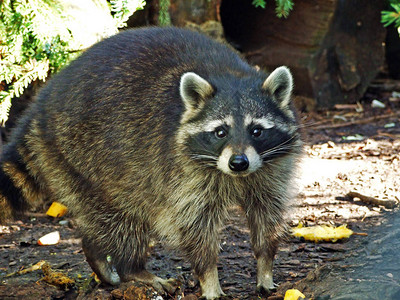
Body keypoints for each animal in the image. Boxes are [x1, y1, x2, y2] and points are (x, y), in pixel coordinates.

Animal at [0, 27, 300, 298]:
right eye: (220, 132)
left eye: (256, 130)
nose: (239, 162)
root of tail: (37, 112)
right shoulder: (183, 174)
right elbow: (196, 229)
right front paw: (209, 278)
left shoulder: (271, 170)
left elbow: (266, 216)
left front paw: (265, 265)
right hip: (81, 157)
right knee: (120, 219)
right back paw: (131, 267)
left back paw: (94, 251)